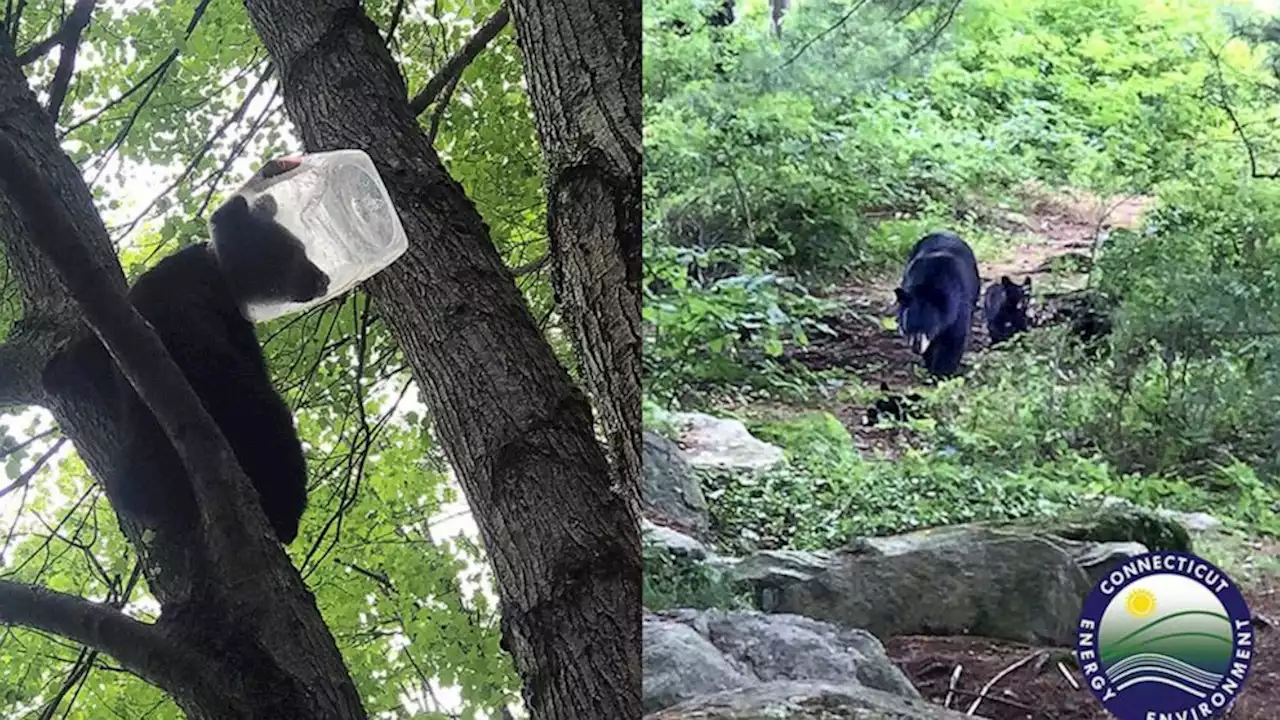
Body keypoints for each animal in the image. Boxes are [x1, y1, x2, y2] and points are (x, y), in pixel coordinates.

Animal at [43, 193, 327, 540]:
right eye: (295, 250)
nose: (323, 278)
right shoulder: (225, 317)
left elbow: (87, 359)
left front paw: (58, 371)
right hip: (235, 399)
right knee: (273, 429)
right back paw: (285, 514)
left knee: (134, 484)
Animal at [901, 230, 977, 376]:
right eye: (909, 327)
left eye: (928, 328)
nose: (916, 348)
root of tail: (944, 231)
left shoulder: (959, 305)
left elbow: (953, 340)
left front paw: (941, 373)